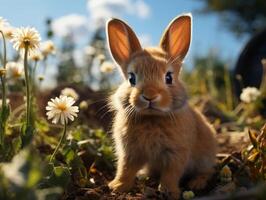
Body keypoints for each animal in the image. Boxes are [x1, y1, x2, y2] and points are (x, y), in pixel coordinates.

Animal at [105, 13, 216, 199]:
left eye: (169, 77)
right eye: (132, 78)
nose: (150, 96)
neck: (152, 117)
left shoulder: (176, 153)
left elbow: (172, 173)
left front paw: (169, 192)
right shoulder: (129, 152)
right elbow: (125, 169)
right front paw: (117, 187)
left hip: (205, 158)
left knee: (207, 171)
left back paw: (197, 183)